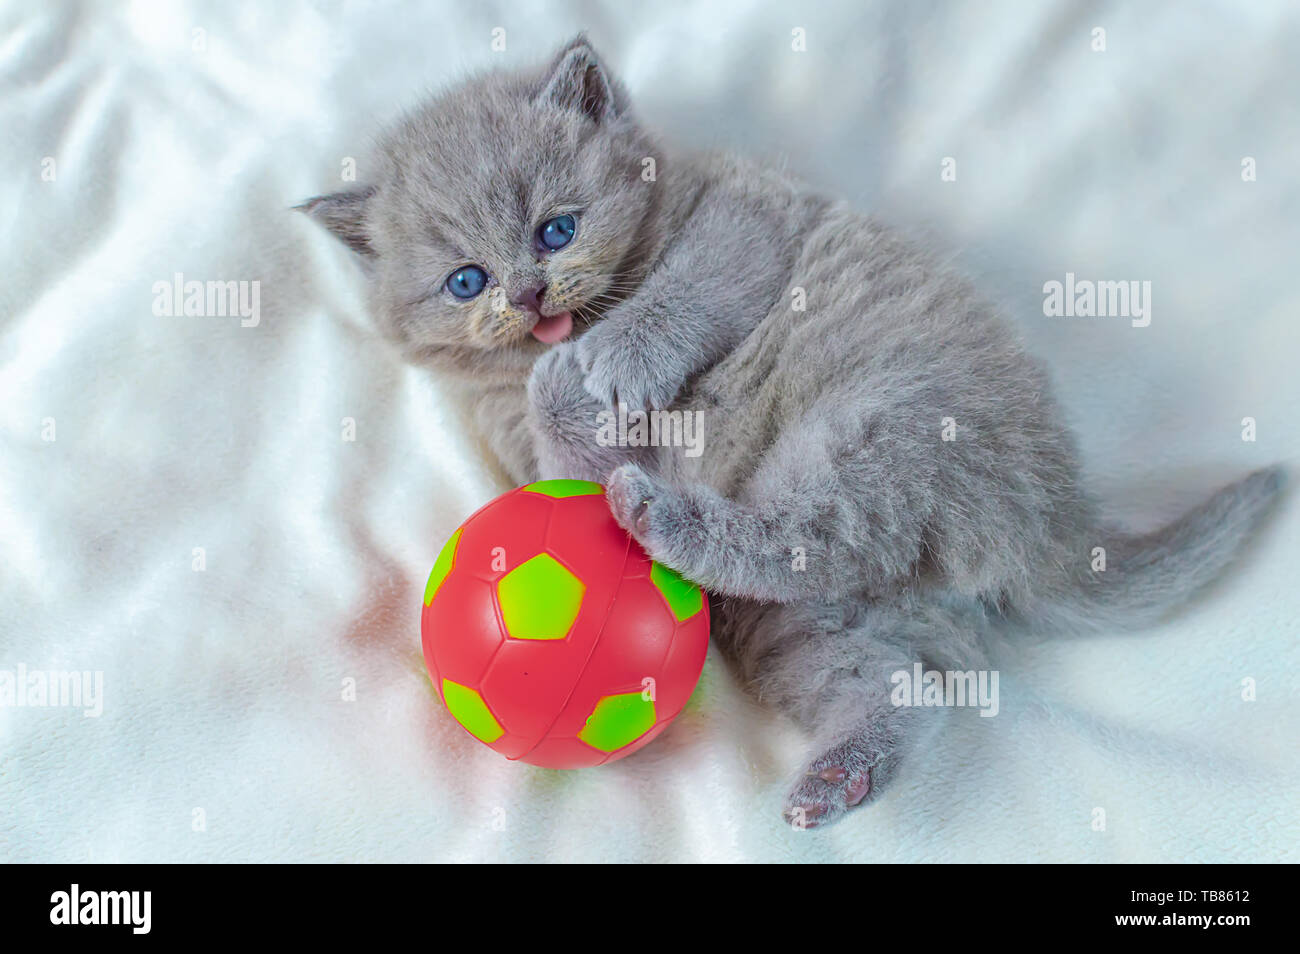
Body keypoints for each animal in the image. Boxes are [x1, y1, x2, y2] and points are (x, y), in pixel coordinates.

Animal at [299, 37, 1284, 831]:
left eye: (557, 228)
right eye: (465, 282)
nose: (530, 297)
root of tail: (1052, 521)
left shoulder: (748, 223)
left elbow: (683, 294)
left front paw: (605, 364)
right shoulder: (514, 437)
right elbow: (562, 454)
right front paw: (571, 385)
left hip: (877, 421)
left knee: (794, 533)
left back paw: (656, 515)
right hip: (805, 619)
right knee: (893, 683)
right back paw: (840, 778)